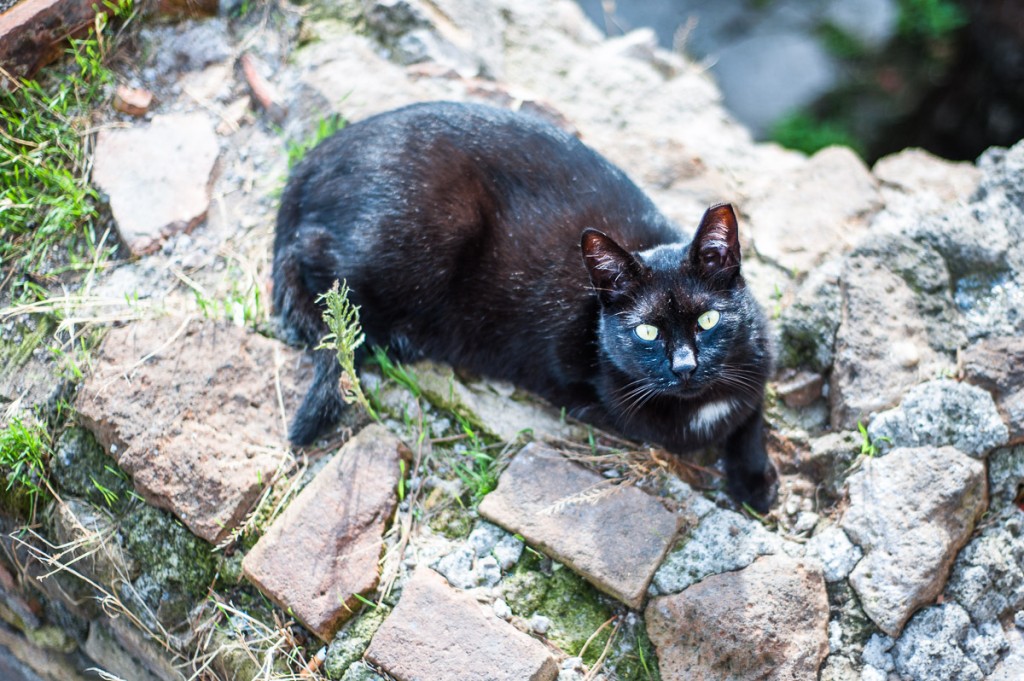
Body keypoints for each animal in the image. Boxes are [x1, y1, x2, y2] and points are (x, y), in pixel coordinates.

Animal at [272, 99, 774, 509]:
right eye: (646, 332)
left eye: (708, 319)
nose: (685, 366)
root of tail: (315, 157)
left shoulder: (760, 355)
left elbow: (752, 412)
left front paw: (754, 478)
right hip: (422, 235)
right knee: (321, 274)